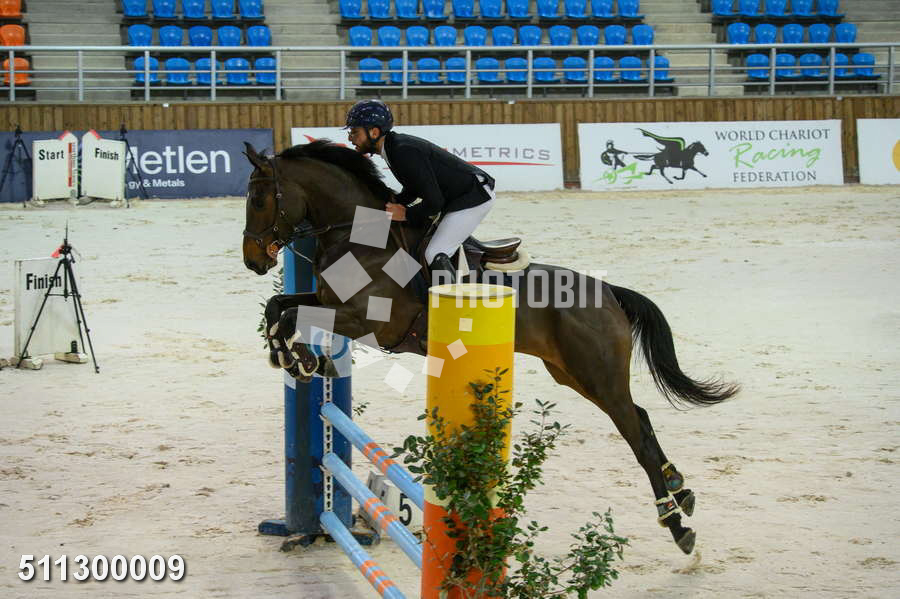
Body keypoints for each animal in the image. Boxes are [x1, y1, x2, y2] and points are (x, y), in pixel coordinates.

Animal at [241, 140, 739, 555]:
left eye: (259, 199)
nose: (253, 260)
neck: (359, 237)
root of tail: (608, 293)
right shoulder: (329, 302)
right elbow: (279, 306)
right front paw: (297, 358)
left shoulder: (370, 322)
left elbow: (292, 315)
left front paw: (304, 359)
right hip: (574, 375)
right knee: (641, 418)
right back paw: (681, 489)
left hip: (597, 374)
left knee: (635, 432)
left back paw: (676, 522)